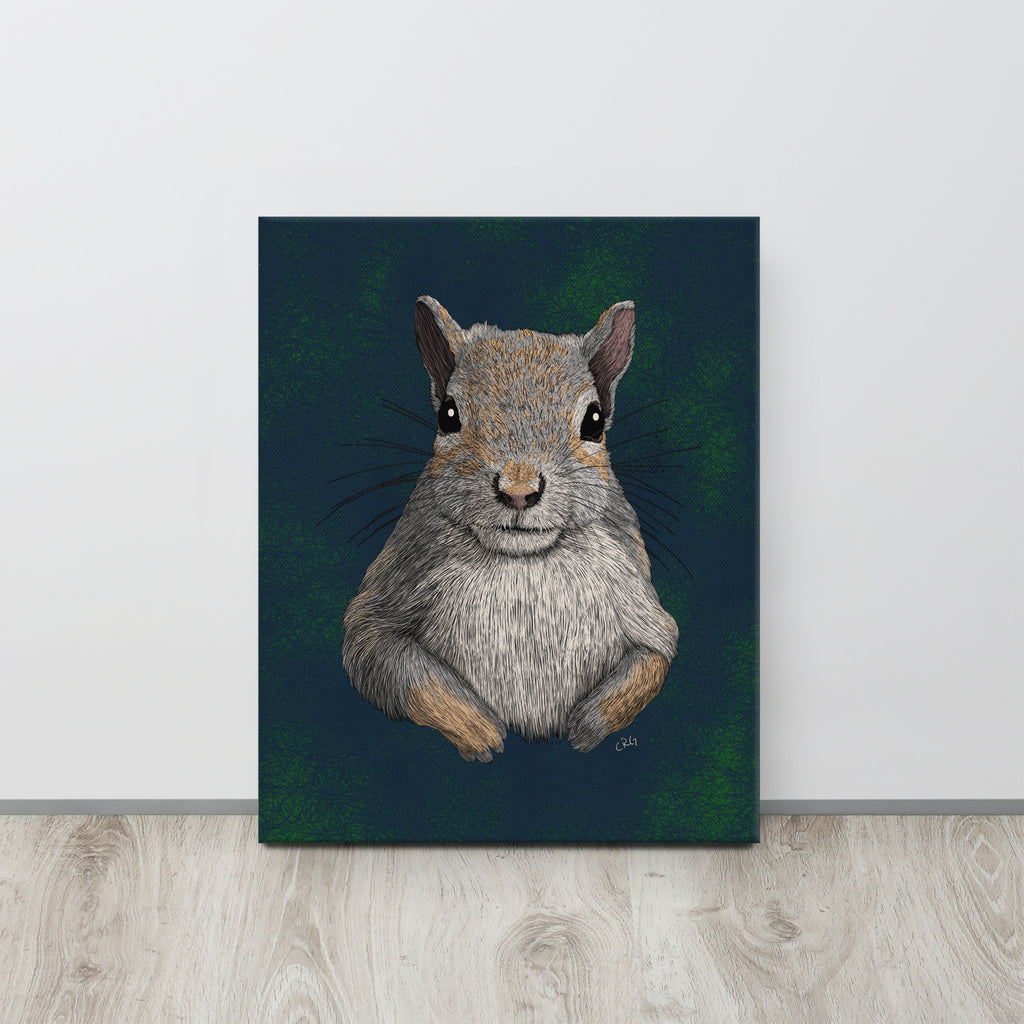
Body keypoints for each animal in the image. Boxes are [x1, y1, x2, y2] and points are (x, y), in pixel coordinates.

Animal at [342, 297, 679, 760]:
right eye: (448, 415)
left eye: (594, 421)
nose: (519, 491)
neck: (522, 561)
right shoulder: (395, 585)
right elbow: (392, 664)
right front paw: (479, 730)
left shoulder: (636, 593)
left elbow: (652, 658)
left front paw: (584, 728)